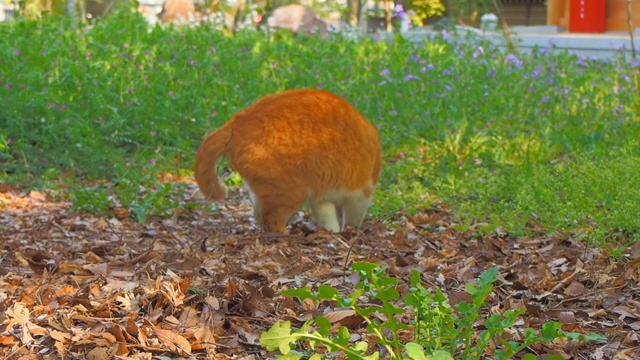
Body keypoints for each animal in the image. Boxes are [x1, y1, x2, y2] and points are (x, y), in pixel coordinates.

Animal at [195, 90, 382, 233]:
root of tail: (239, 121)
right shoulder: (360, 192)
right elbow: (352, 217)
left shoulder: (321, 196)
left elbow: (326, 217)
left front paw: (331, 233)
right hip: (290, 192)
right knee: (272, 218)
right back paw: (283, 236)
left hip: (262, 188)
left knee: (260, 214)